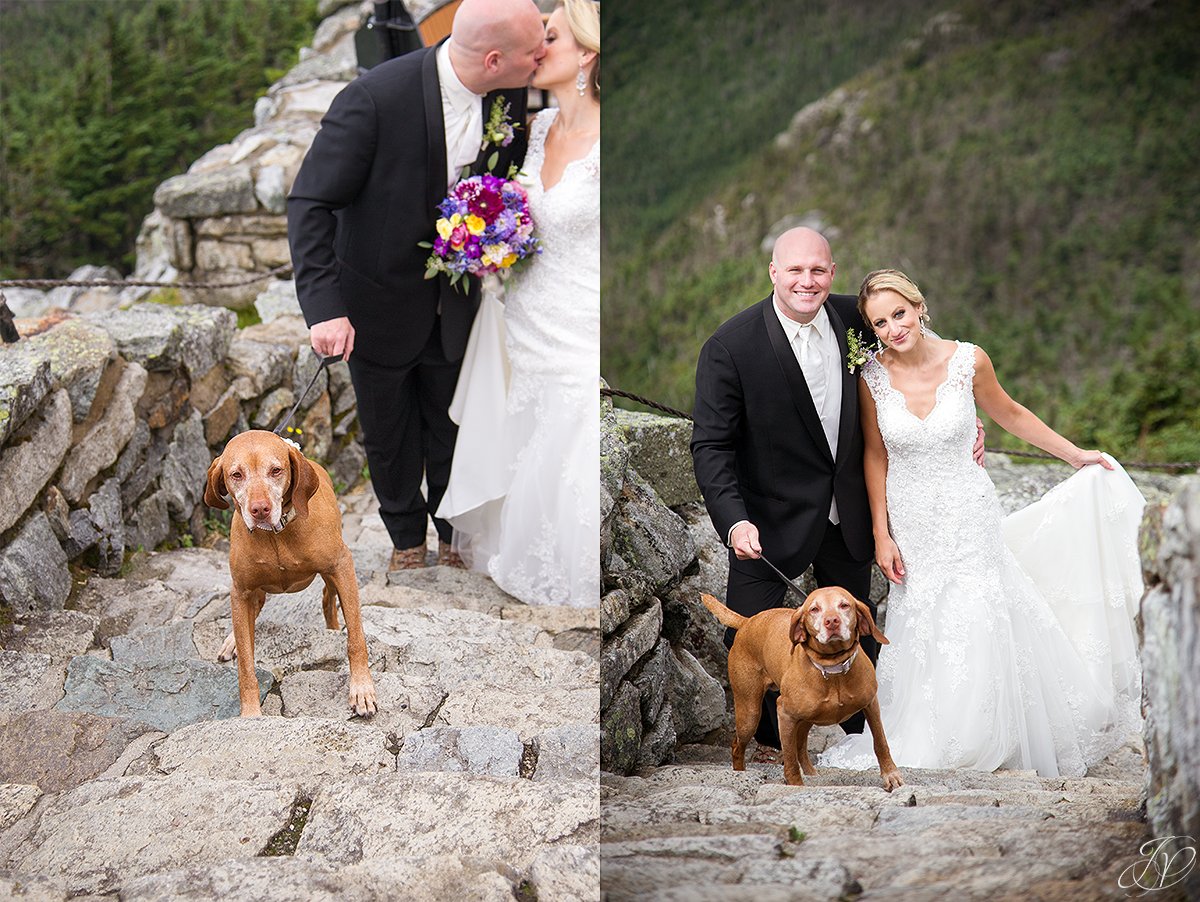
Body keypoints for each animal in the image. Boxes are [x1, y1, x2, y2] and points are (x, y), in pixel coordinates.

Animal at [204, 429, 374, 719]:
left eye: (276, 470)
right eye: (236, 474)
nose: (260, 509)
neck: (276, 534)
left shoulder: (341, 566)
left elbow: (355, 637)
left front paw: (361, 689)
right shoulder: (241, 590)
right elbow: (246, 666)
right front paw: (250, 715)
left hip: (331, 574)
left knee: (327, 598)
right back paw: (233, 640)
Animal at [700, 585, 902, 786]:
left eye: (844, 605)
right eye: (814, 609)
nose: (832, 621)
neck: (833, 668)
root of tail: (748, 621)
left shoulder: (871, 705)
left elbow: (880, 741)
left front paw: (890, 774)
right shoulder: (784, 714)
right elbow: (789, 758)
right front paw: (795, 785)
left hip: (806, 717)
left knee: (800, 745)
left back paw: (811, 773)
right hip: (749, 714)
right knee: (738, 745)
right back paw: (740, 774)